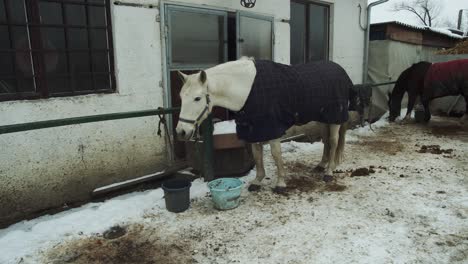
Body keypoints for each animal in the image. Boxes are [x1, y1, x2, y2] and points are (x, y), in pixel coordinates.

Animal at [176, 58, 352, 193]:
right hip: (323, 119)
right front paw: (257, 181)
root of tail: (341, 70)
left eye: (197, 98)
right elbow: (257, 155)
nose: (181, 132)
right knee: (326, 141)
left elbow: (276, 155)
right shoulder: (254, 130)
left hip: (335, 118)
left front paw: (280, 184)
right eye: (181, 97)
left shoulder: (272, 129)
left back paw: (329, 172)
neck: (247, 90)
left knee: (334, 141)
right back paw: (321, 165)